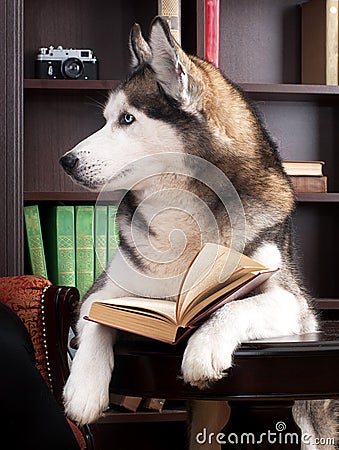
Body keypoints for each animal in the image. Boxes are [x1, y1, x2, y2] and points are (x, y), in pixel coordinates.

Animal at [61, 16, 338, 446]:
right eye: (106, 119)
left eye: (127, 119)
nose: (66, 160)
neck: (182, 214)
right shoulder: (103, 291)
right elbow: (96, 318)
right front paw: (84, 390)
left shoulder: (295, 306)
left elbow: (237, 305)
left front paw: (204, 345)